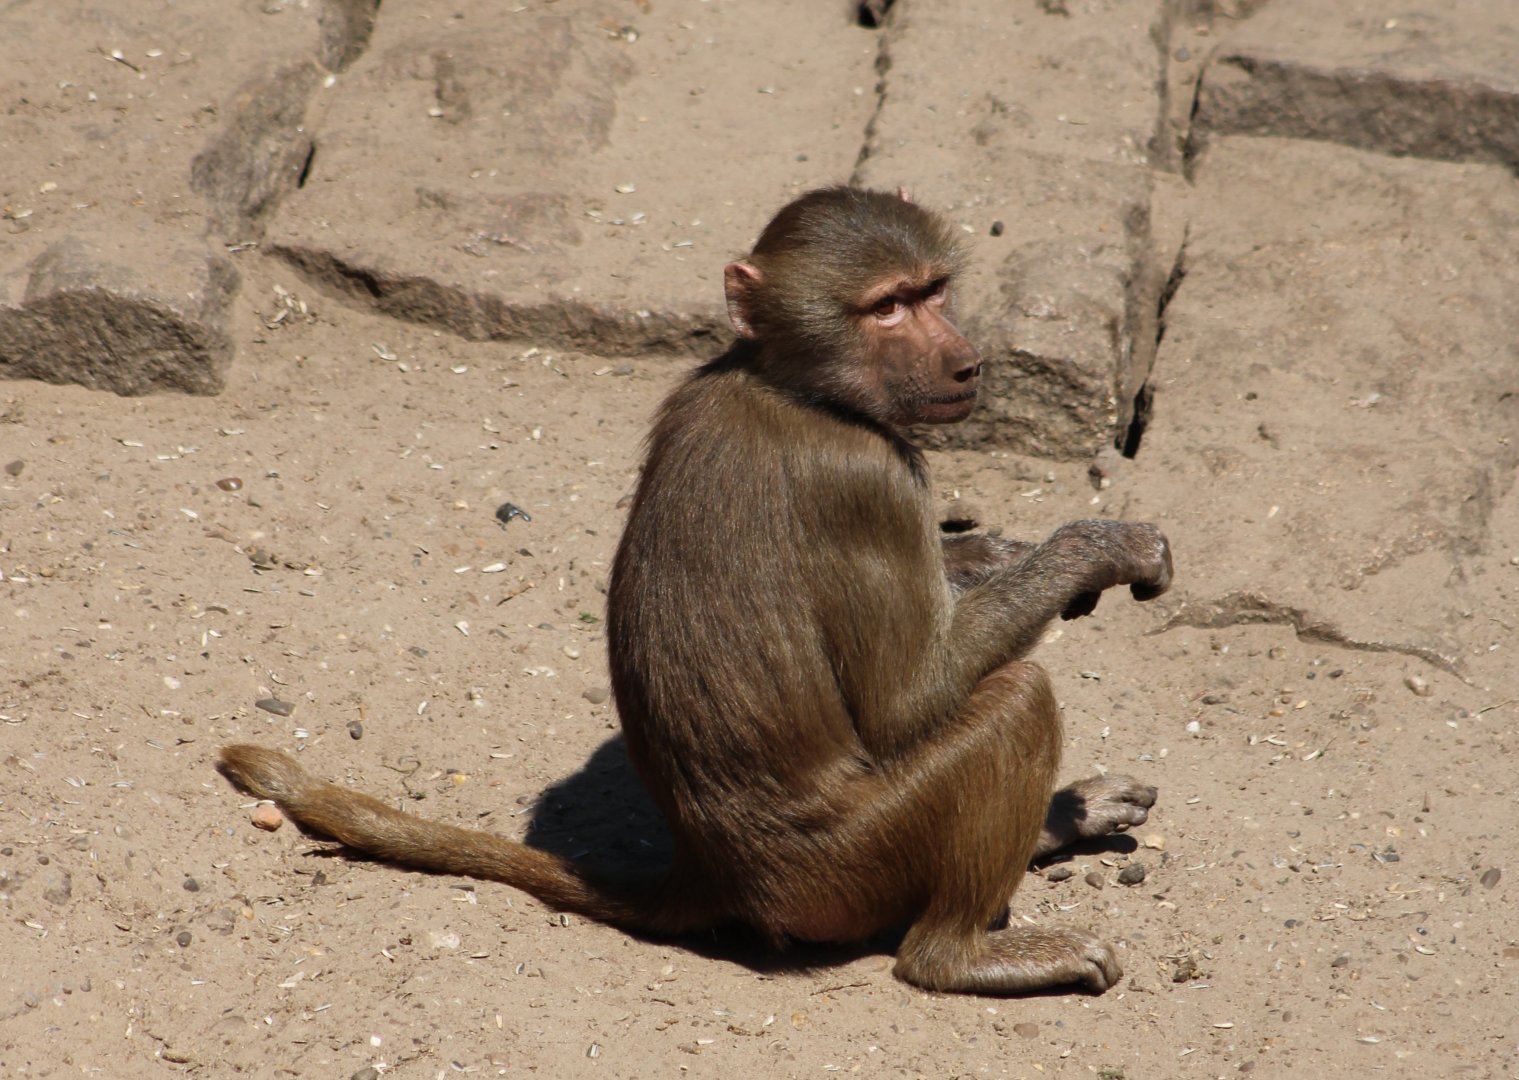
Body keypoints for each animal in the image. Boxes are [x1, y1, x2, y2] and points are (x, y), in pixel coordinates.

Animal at [221, 186, 1172, 995]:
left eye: (932, 291)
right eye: (886, 307)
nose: (968, 364)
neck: (783, 380)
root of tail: (713, 873)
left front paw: (990, 551)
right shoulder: (868, 477)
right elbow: (907, 703)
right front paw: (1097, 551)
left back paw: (1061, 821)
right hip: (854, 866)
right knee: (1014, 701)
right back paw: (962, 955)